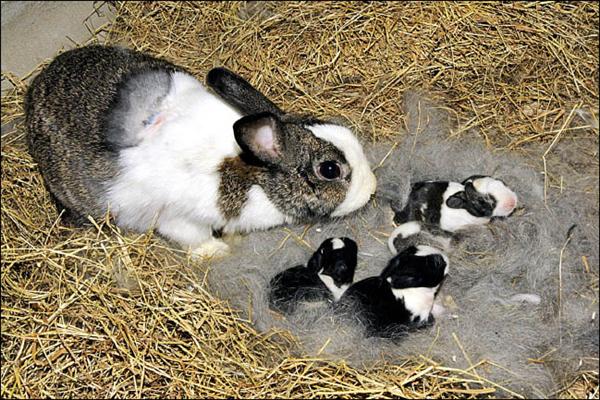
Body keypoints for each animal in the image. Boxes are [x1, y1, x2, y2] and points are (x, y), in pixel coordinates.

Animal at [27, 45, 380, 258]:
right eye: (330, 170)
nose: (372, 188)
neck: (251, 170)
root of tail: (33, 91)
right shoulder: (176, 216)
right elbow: (193, 237)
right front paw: (218, 253)